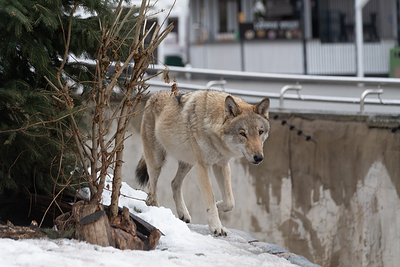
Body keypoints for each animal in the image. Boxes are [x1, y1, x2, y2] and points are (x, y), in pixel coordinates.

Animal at [136, 90, 270, 237]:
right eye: (242, 133)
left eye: (260, 132)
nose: (259, 157)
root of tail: (154, 95)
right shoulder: (203, 166)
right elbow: (210, 198)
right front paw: (217, 227)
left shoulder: (222, 165)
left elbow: (230, 202)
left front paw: (218, 205)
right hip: (157, 162)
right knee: (151, 185)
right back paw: (156, 209)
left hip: (188, 162)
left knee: (174, 183)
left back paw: (183, 214)